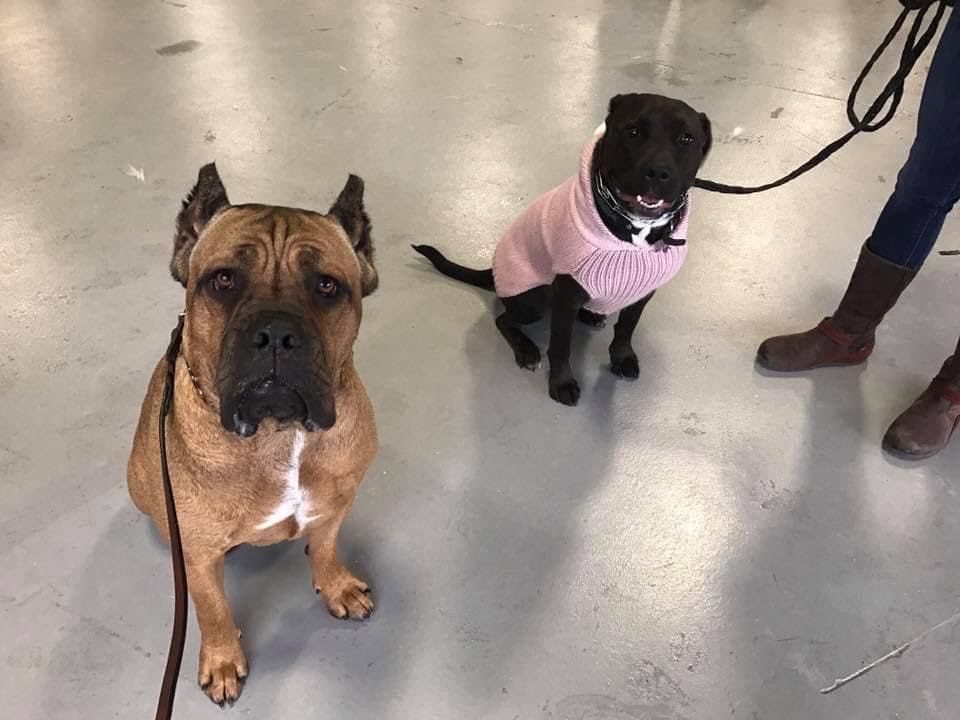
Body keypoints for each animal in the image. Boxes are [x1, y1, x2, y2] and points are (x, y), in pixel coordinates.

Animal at [127, 164, 379, 705]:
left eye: (327, 286)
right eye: (223, 280)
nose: (277, 334)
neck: (278, 434)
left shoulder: (336, 504)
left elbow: (324, 546)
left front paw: (336, 585)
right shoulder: (200, 558)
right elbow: (213, 610)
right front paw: (223, 661)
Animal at [413, 93, 711, 406]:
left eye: (687, 138)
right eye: (632, 131)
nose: (657, 172)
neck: (634, 233)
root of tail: (492, 270)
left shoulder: (643, 293)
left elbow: (626, 329)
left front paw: (621, 357)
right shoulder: (566, 297)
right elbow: (560, 345)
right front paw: (561, 382)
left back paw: (592, 314)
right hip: (535, 300)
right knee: (503, 319)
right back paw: (526, 349)